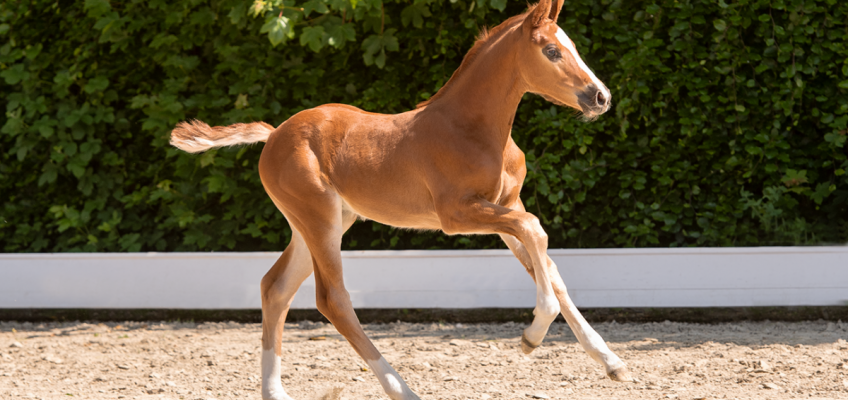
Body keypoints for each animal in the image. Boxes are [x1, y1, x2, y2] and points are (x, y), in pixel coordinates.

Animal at [171, 1, 628, 398]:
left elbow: (547, 265)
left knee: (275, 287)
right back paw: (403, 390)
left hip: (322, 221)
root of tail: (274, 134)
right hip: (319, 219)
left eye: (572, 46)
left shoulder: (507, 206)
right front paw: (531, 338)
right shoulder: (458, 214)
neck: (471, 129)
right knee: (332, 299)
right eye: (552, 50)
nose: (601, 97)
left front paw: (610, 361)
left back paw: (275, 392)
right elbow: (537, 233)